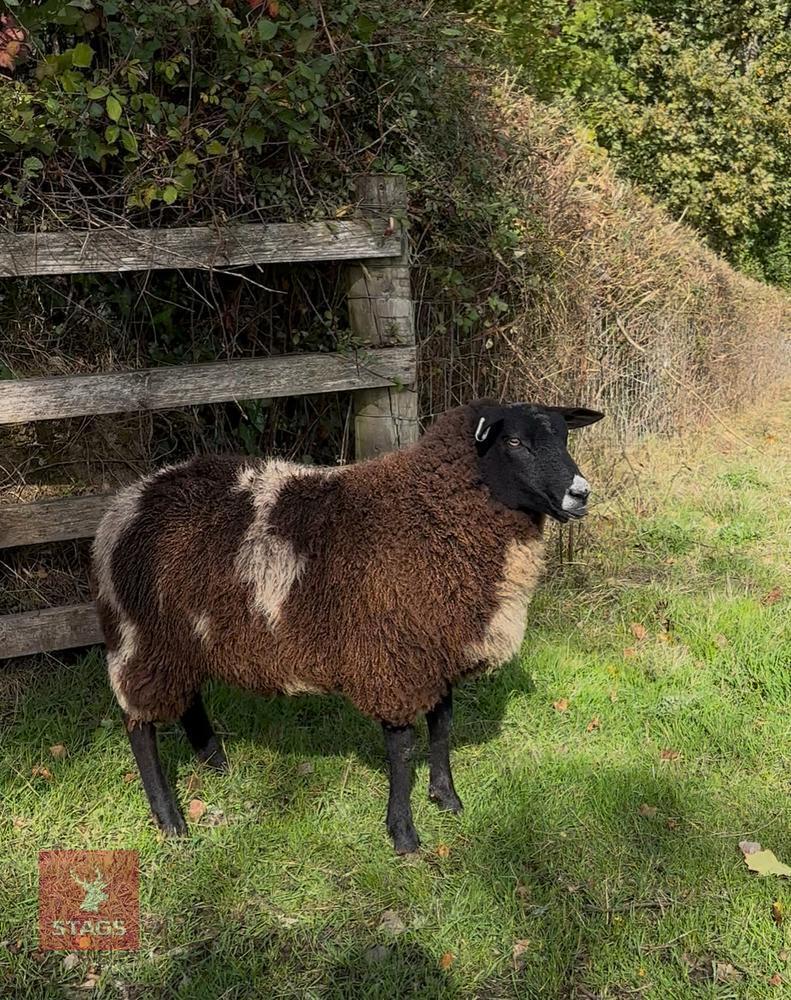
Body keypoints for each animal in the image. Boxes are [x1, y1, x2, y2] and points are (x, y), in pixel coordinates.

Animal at [92, 399, 603, 853]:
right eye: (514, 441)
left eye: (564, 435)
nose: (580, 494)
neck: (431, 513)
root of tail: (128, 502)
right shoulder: (395, 658)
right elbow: (402, 749)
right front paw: (404, 835)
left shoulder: (436, 651)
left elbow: (442, 728)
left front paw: (447, 799)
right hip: (142, 637)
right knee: (139, 726)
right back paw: (170, 819)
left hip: (185, 637)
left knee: (189, 699)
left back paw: (217, 764)